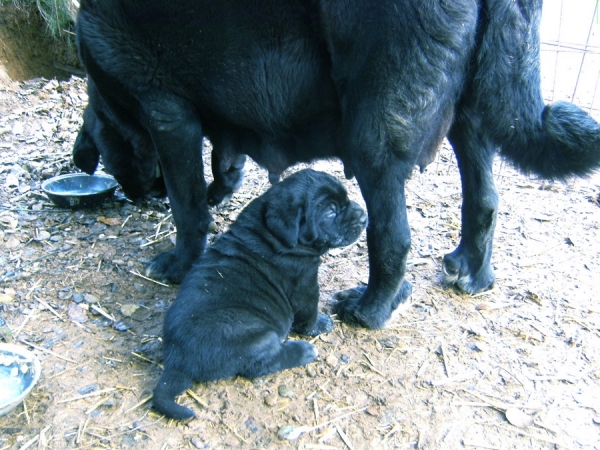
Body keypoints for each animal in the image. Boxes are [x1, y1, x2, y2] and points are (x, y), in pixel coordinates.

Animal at [74, 1, 600, 328]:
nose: (138, 193)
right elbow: (225, 158)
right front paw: (220, 187)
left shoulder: (166, 111)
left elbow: (187, 209)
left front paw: (179, 262)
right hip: (472, 112)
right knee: (485, 198)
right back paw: (473, 271)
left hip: (374, 139)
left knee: (393, 238)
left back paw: (373, 309)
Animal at [152, 169, 368, 418]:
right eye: (331, 211)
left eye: (346, 200)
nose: (364, 216)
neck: (267, 231)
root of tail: (176, 361)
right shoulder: (304, 284)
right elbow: (309, 312)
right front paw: (320, 324)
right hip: (256, 336)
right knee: (262, 365)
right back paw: (303, 351)